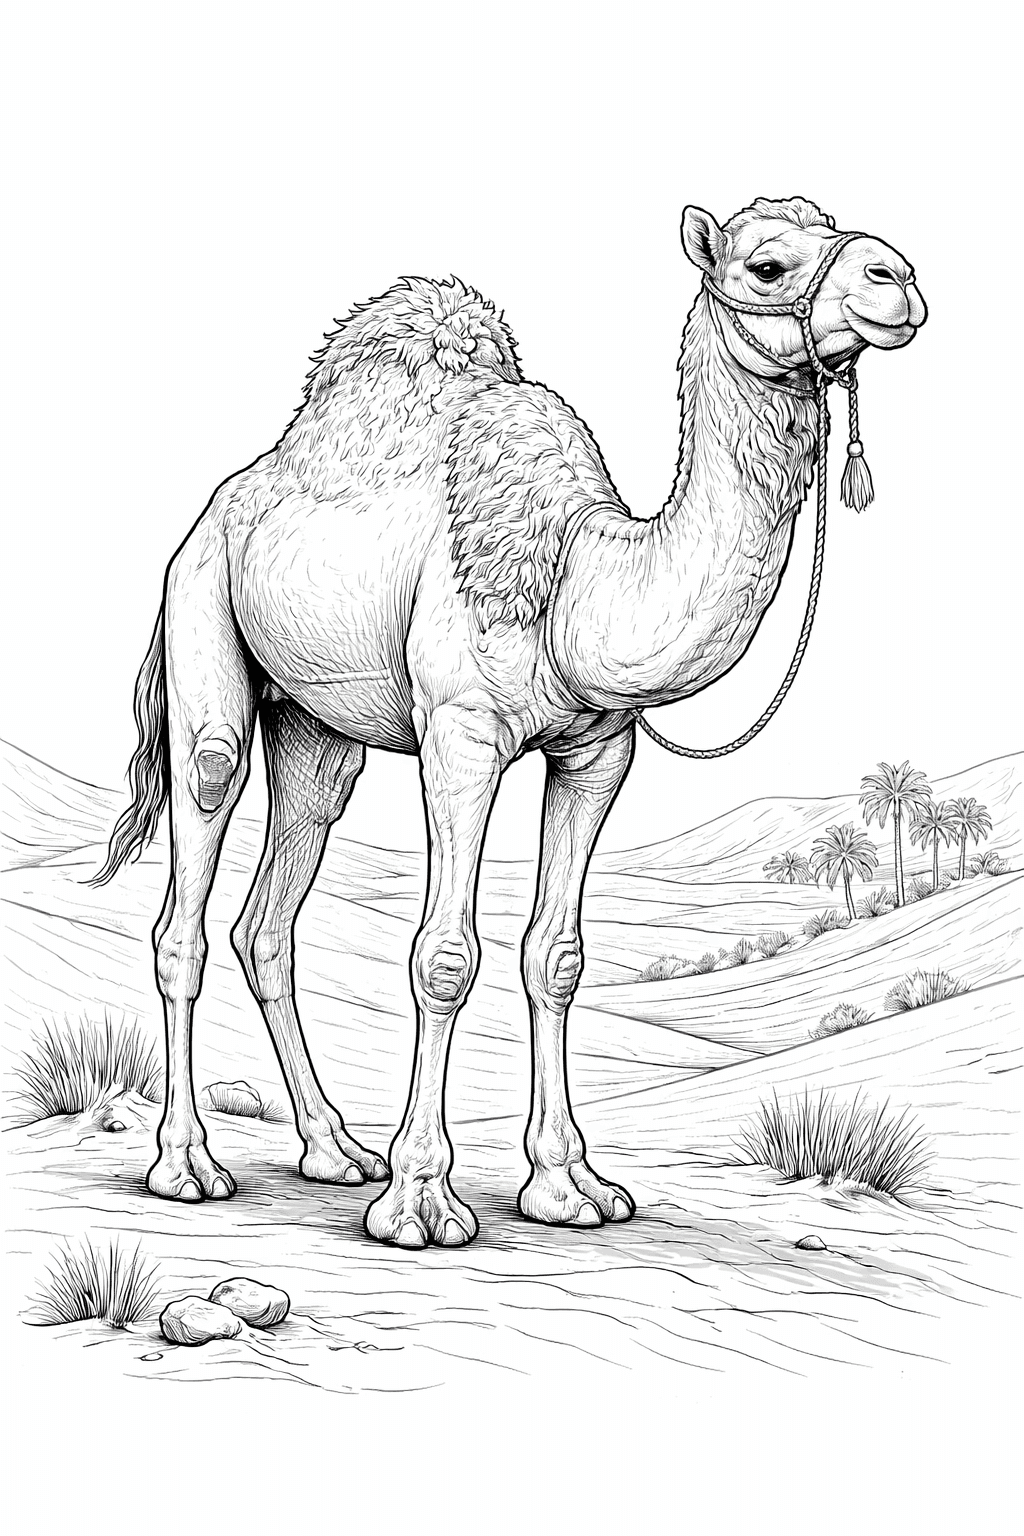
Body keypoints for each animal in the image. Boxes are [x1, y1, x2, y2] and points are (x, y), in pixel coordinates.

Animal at [95, 196, 926, 1248]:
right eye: (768, 265)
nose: (897, 279)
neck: (577, 574)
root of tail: (217, 507)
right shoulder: (460, 735)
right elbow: (445, 957)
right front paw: (419, 1203)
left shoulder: (596, 750)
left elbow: (556, 957)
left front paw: (570, 1186)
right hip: (202, 620)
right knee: (192, 878)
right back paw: (188, 1166)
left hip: (317, 730)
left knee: (270, 917)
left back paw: (334, 1150)